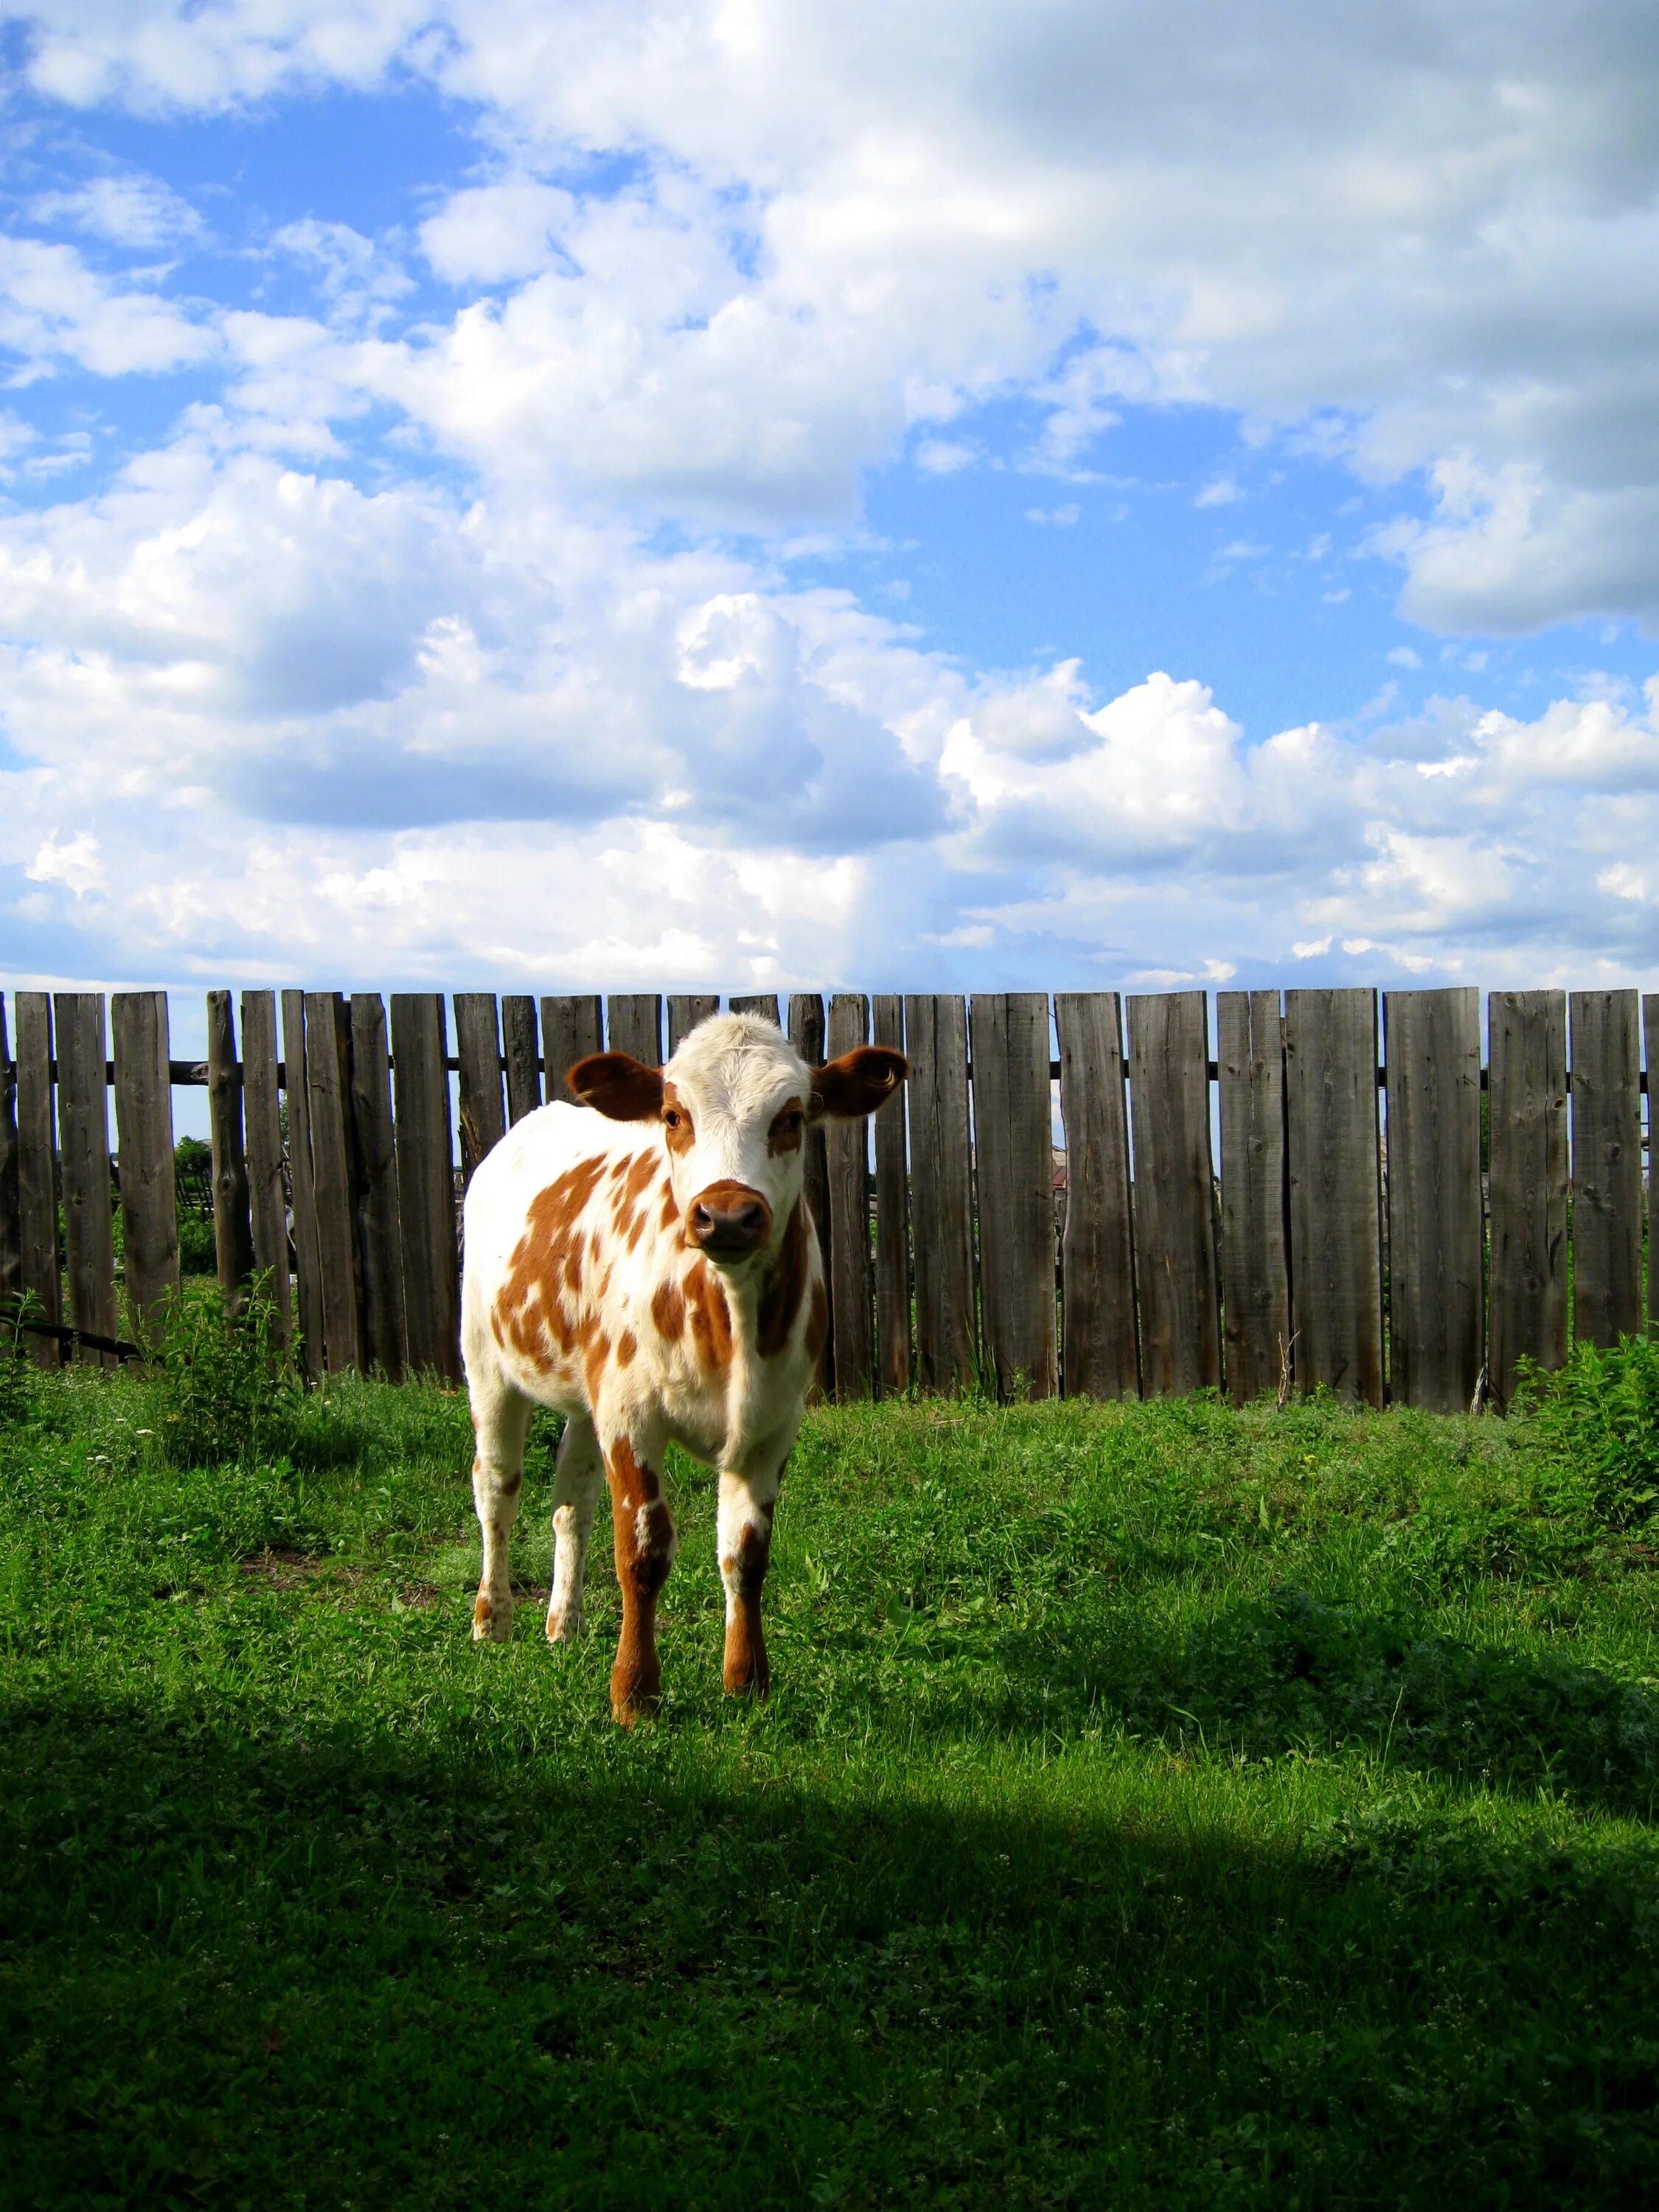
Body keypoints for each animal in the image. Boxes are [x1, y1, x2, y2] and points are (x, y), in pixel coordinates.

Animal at [462, 1013, 911, 1717]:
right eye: (674, 1115)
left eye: (791, 1117)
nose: (726, 1215)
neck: (733, 1322)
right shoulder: (630, 1414)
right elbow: (642, 1553)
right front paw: (634, 1693)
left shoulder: (773, 1426)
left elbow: (745, 1555)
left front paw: (747, 1681)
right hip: (487, 1364)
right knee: (497, 1490)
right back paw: (493, 1618)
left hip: (586, 1392)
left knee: (570, 1500)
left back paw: (565, 1622)